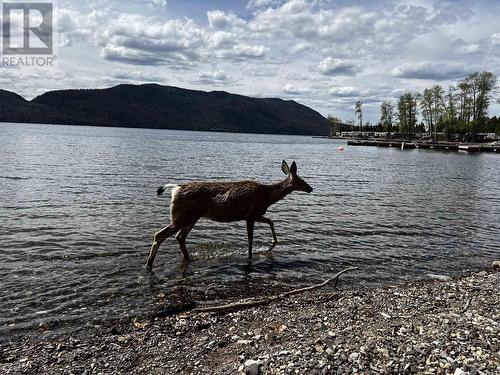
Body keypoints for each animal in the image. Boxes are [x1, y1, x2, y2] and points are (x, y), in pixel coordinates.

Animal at [146, 160, 312, 268]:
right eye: (301, 179)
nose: (310, 188)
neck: (267, 196)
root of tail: (176, 188)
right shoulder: (250, 214)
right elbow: (250, 239)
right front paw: (250, 257)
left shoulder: (255, 214)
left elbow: (271, 221)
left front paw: (272, 244)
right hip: (182, 216)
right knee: (160, 235)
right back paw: (149, 264)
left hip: (192, 217)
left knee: (180, 237)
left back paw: (187, 259)